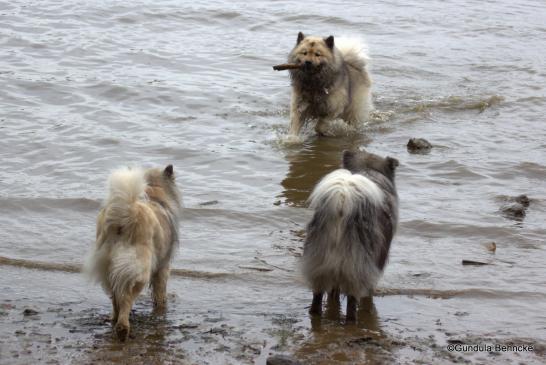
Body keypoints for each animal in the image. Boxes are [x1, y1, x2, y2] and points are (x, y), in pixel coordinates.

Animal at [84, 164, 180, 340]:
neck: (153, 193)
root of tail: (125, 213)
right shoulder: (163, 267)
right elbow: (160, 292)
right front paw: (161, 308)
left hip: (107, 265)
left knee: (115, 297)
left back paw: (115, 319)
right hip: (139, 269)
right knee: (126, 298)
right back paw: (123, 327)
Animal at [300, 149, 398, 320]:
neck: (368, 171)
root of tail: (343, 201)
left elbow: (334, 293)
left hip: (319, 264)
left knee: (317, 299)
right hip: (357, 268)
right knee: (352, 306)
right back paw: (353, 321)